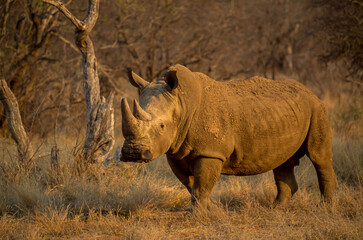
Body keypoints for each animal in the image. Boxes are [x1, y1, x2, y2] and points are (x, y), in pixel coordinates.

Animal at [121, 64, 338, 208]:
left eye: (162, 126)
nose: (132, 153)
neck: (182, 102)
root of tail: (309, 91)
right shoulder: (175, 151)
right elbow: (191, 185)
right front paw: (212, 211)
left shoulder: (210, 152)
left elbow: (201, 185)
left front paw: (201, 216)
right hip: (287, 114)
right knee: (283, 161)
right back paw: (275, 209)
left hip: (316, 108)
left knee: (319, 157)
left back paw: (326, 209)